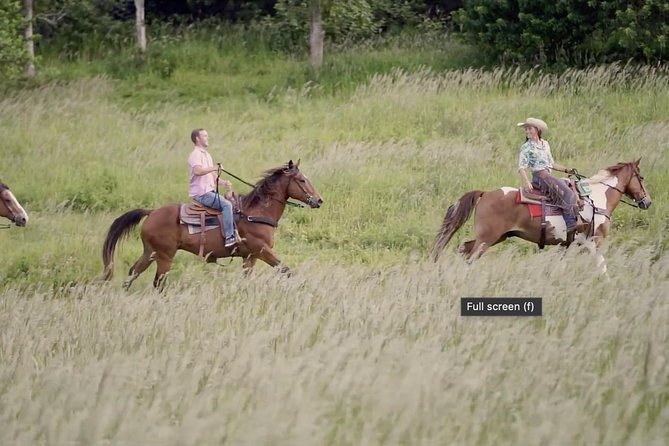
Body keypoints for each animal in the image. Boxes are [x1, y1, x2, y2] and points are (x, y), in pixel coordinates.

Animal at [430, 159, 648, 268]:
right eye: (642, 177)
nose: (647, 201)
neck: (596, 199)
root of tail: (485, 193)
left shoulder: (568, 245)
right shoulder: (592, 242)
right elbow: (602, 267)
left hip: (498, 237)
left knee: (464, 248)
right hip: (487, 238)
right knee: (470, 255)